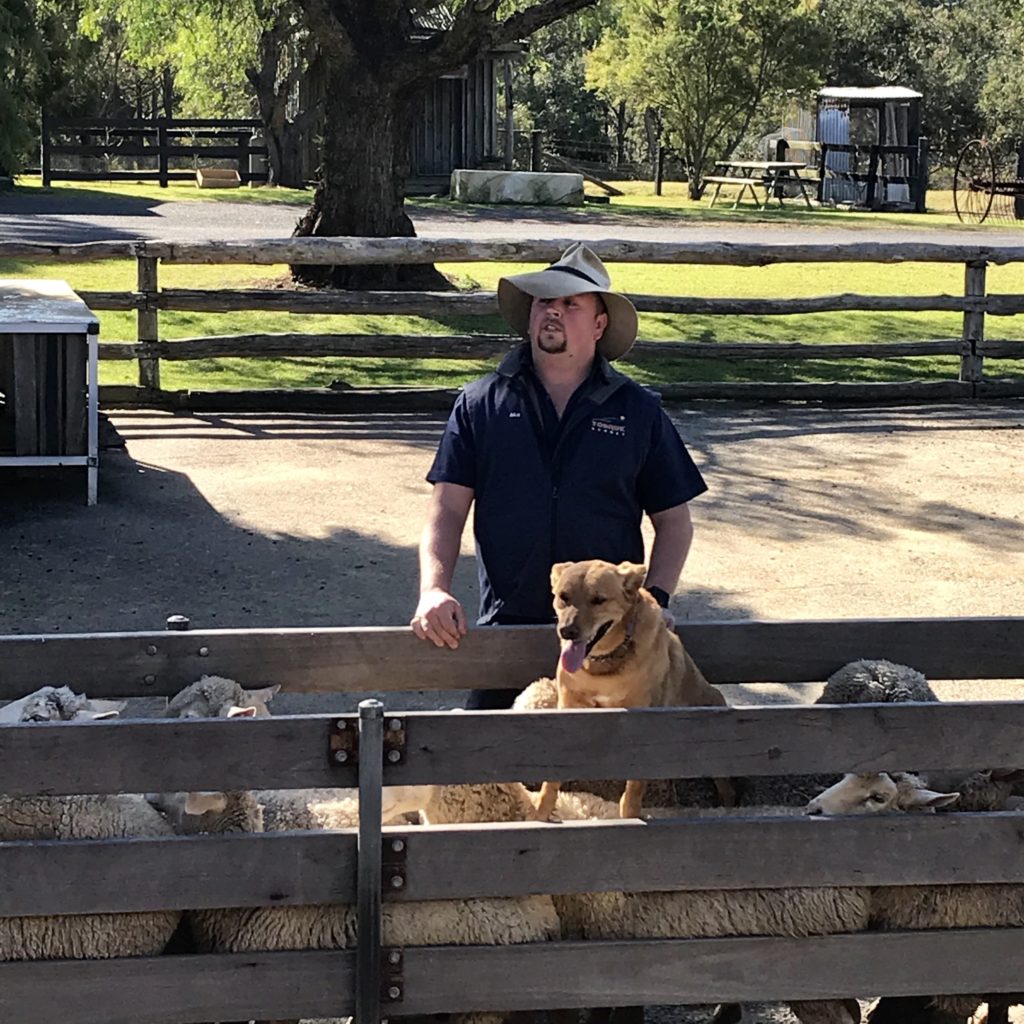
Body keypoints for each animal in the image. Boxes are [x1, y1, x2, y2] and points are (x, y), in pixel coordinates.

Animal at [532, 557, 733, 819]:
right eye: (563, 597)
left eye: (598, 599)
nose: (567, 631)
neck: (603, 665)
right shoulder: (568, 709)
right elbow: (552, 775)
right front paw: (540, 811)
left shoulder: (641, 722)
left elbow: (634, 787)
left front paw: (629, 817)